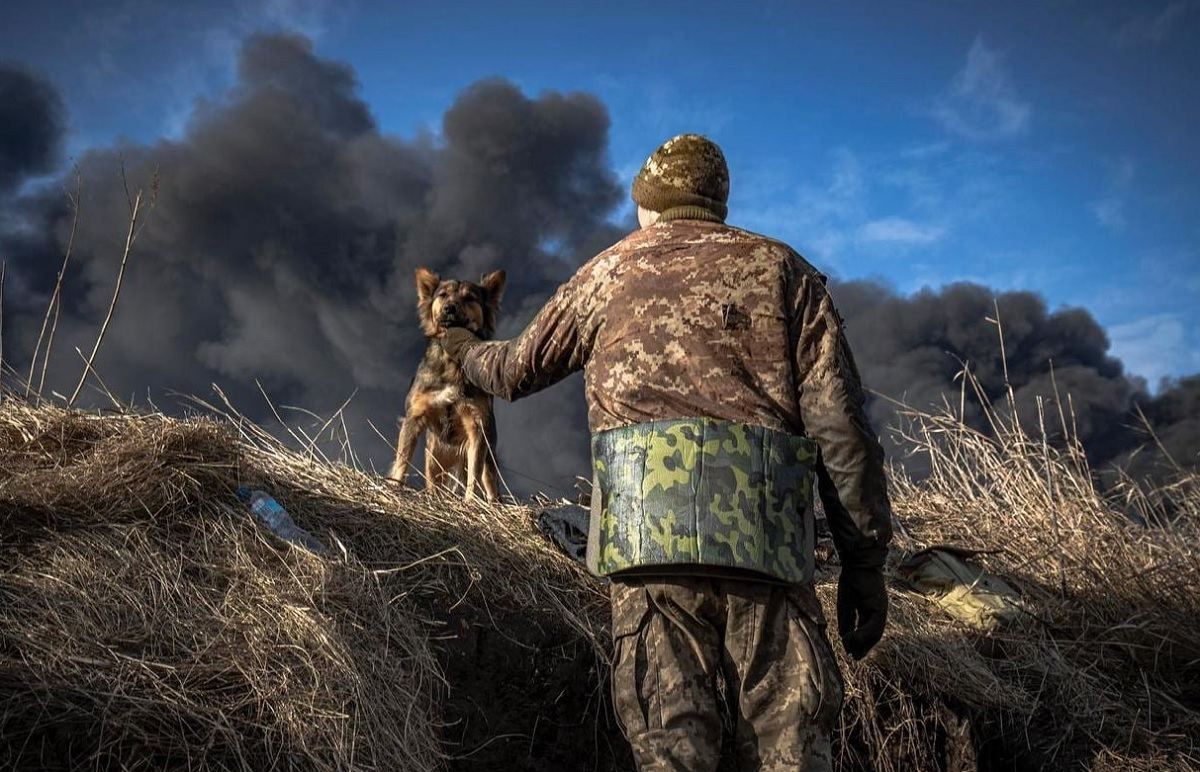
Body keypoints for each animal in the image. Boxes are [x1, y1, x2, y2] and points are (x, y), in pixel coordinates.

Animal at [388, 268, 506, 504]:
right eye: (442, 295)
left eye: (470, 298)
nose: (449, 308)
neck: (452, 359)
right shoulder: (414, 416)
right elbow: (402, 460)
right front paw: (394, 487)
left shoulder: (477, 426)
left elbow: (473, 475)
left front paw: (469, 503)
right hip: (434, 458)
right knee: (434, 482)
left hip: (487, 457)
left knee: (488, 483)